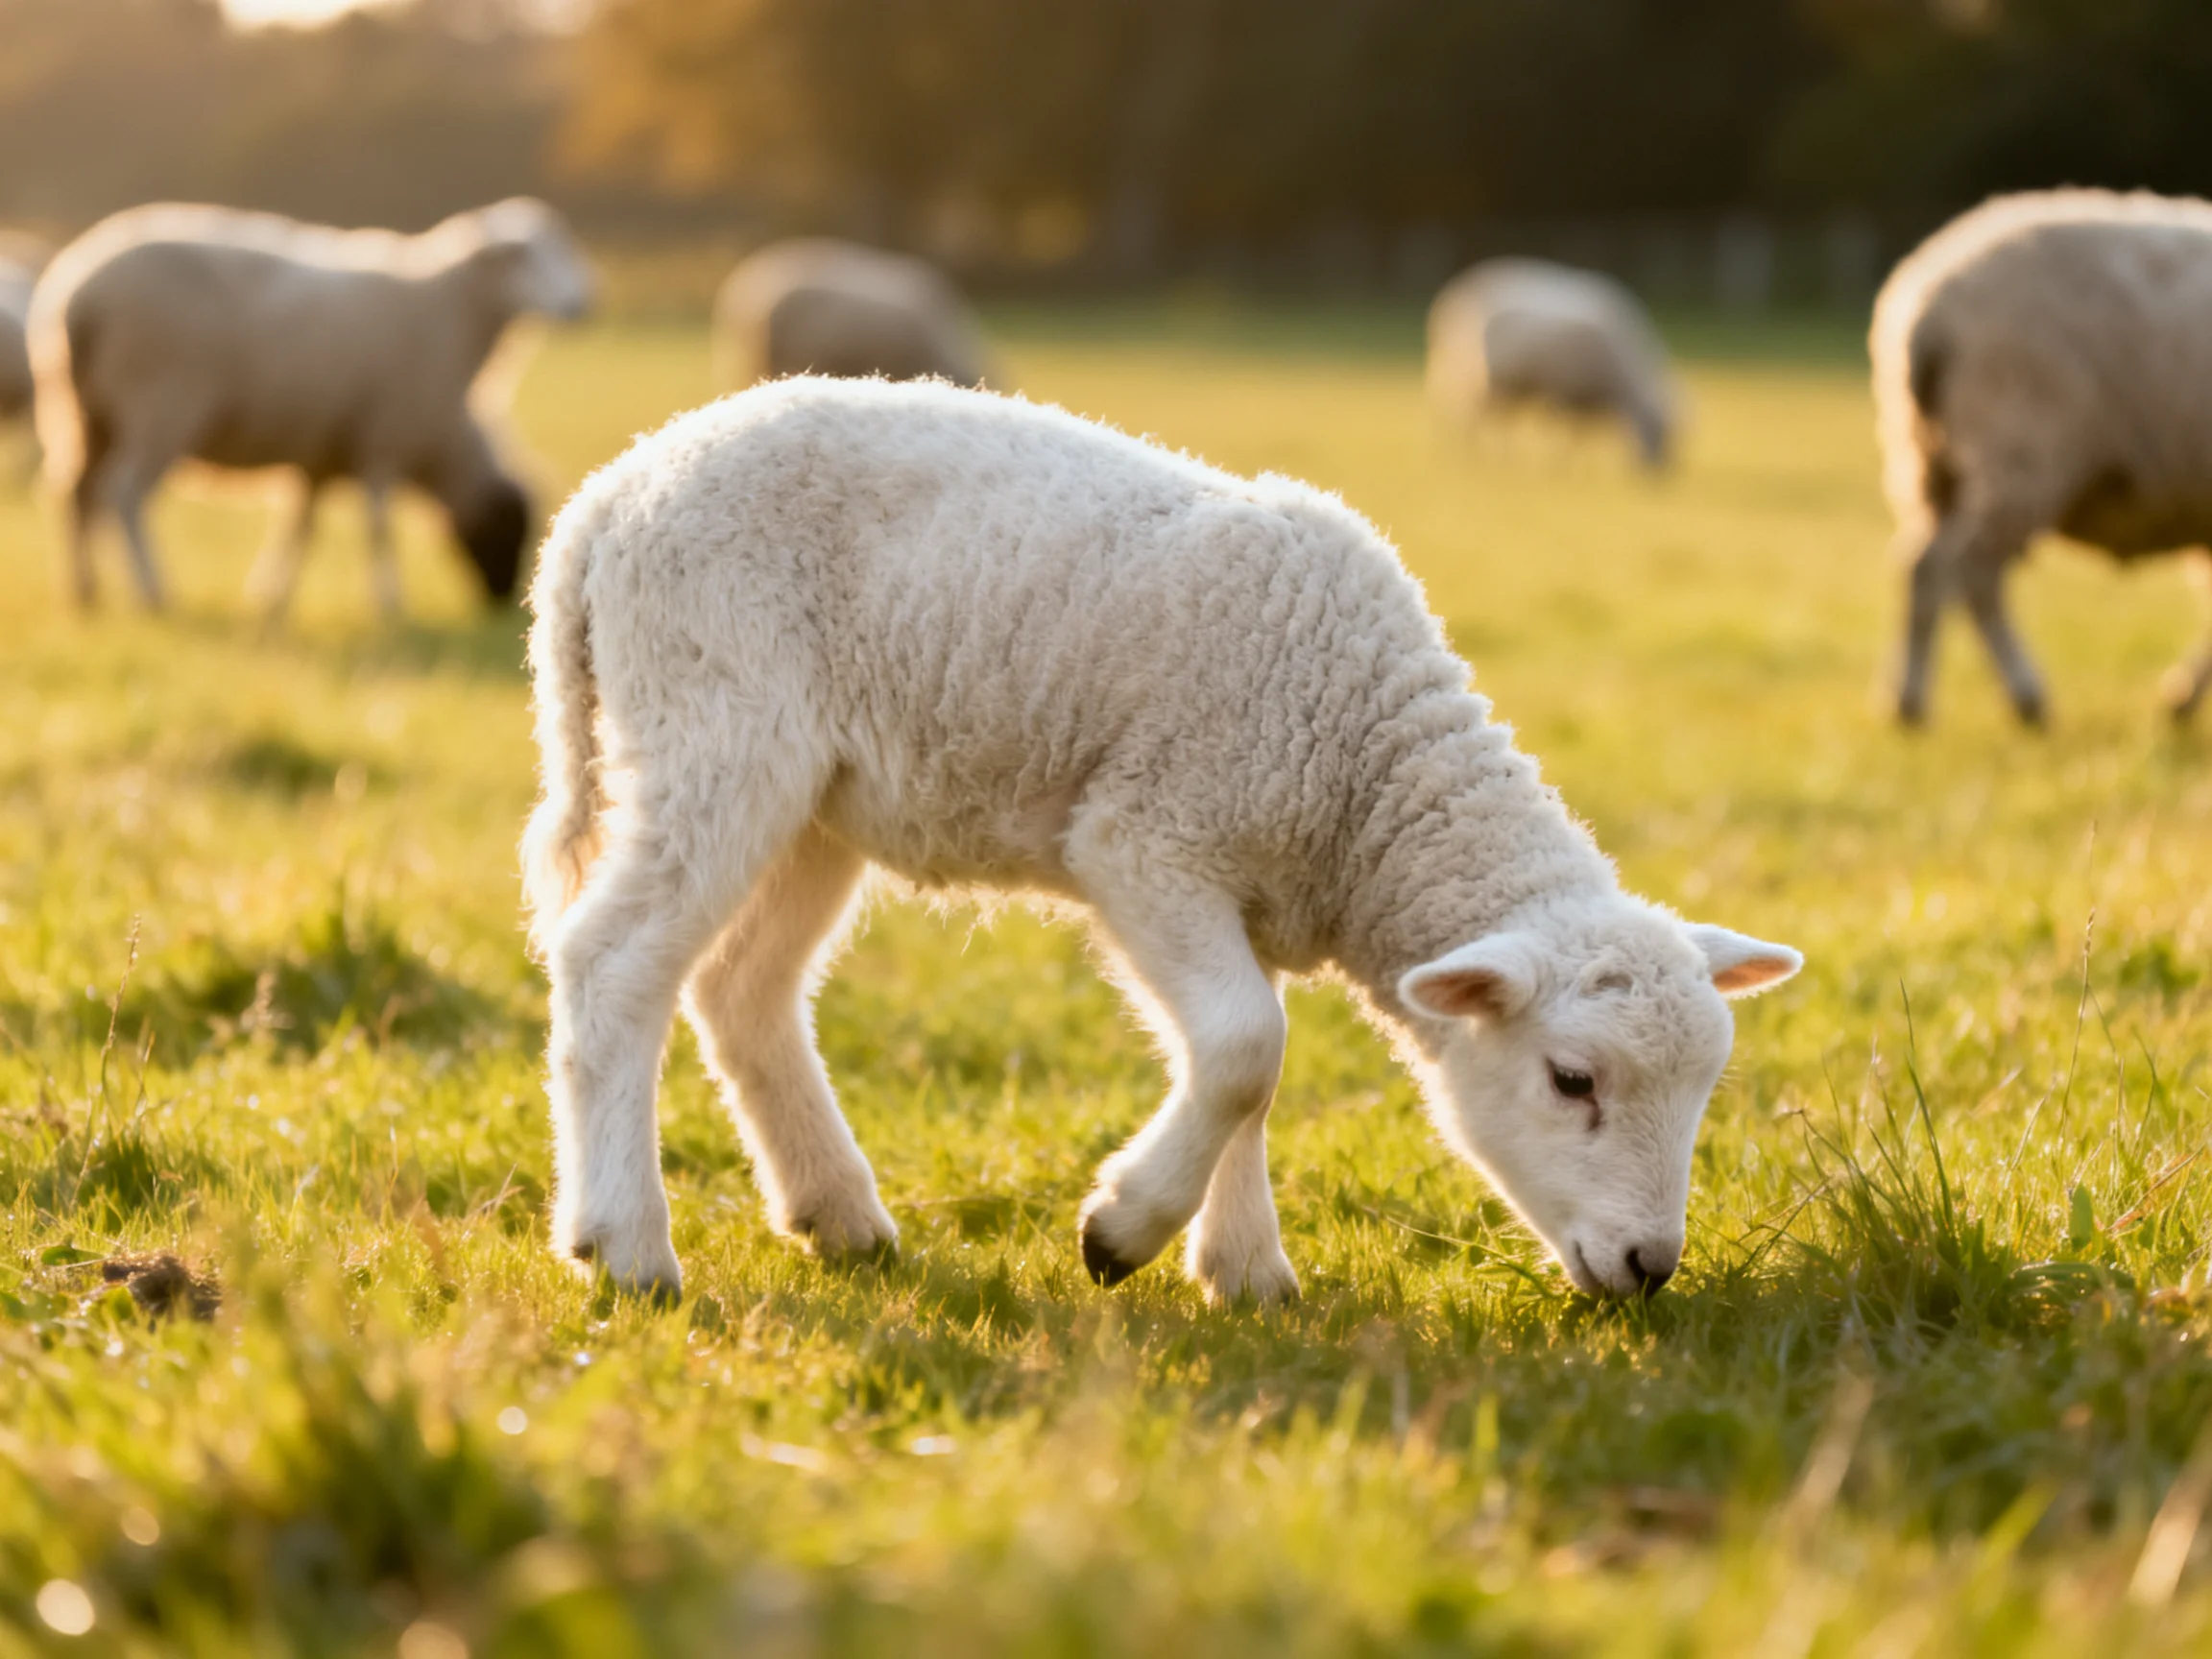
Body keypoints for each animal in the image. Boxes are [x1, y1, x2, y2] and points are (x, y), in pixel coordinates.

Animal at [28, 197, 594, 618]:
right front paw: (390, 604)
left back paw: (83, 593)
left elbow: (299, 530)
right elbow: (378, 528)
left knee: (75, 494)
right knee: (122, 495)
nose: (580, 304)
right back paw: (153, 592)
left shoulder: (318, 457)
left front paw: (271, 599)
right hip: (160, 405)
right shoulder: (383, 438)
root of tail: (79, 297)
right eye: (520, 255)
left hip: (86, 413)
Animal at [520, 376, 1801, 1307]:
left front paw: (1241, 1269)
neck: (1363, 783)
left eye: (1703, 1092)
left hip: (818, 796)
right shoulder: (1148, 841)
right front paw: (1122, 1232)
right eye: (1571, 1080)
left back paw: (837, 1217)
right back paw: (625, 1246)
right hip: (715, 723)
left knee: (742, 987)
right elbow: (1242, 1048)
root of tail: (605, 503)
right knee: (613, 962)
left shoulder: (1243, 888)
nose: (1651, 1268)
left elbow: (1244, 1067)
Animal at [1428, 258, 1680, 471]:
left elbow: (1580, 439)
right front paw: (1561, 467)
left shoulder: (1585, 404)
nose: (1657, 475)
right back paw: (1480, 457)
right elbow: (1568, 438)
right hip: (1490, 383)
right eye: (1657, 431)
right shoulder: (1567, 394)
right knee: (1473, 419)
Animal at [1874, 189, 2212, 725]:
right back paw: (2014, 695)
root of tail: (1931, 303)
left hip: (1926, 459)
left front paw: (2181, 699)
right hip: (2019, 442)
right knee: (1965, 572)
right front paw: (2182, 698)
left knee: (1920, 562)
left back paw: (1904, 697)